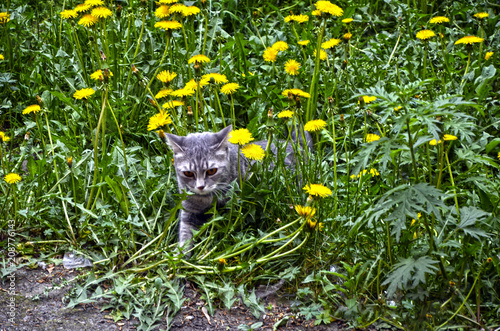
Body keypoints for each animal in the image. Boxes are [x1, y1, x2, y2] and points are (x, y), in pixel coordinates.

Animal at [166, 126, 310, 255]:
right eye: (188, 173)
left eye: (212, 171)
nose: (200, 186)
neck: (208, 199)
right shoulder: (188, 213)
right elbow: (185, 237)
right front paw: (180, 257)